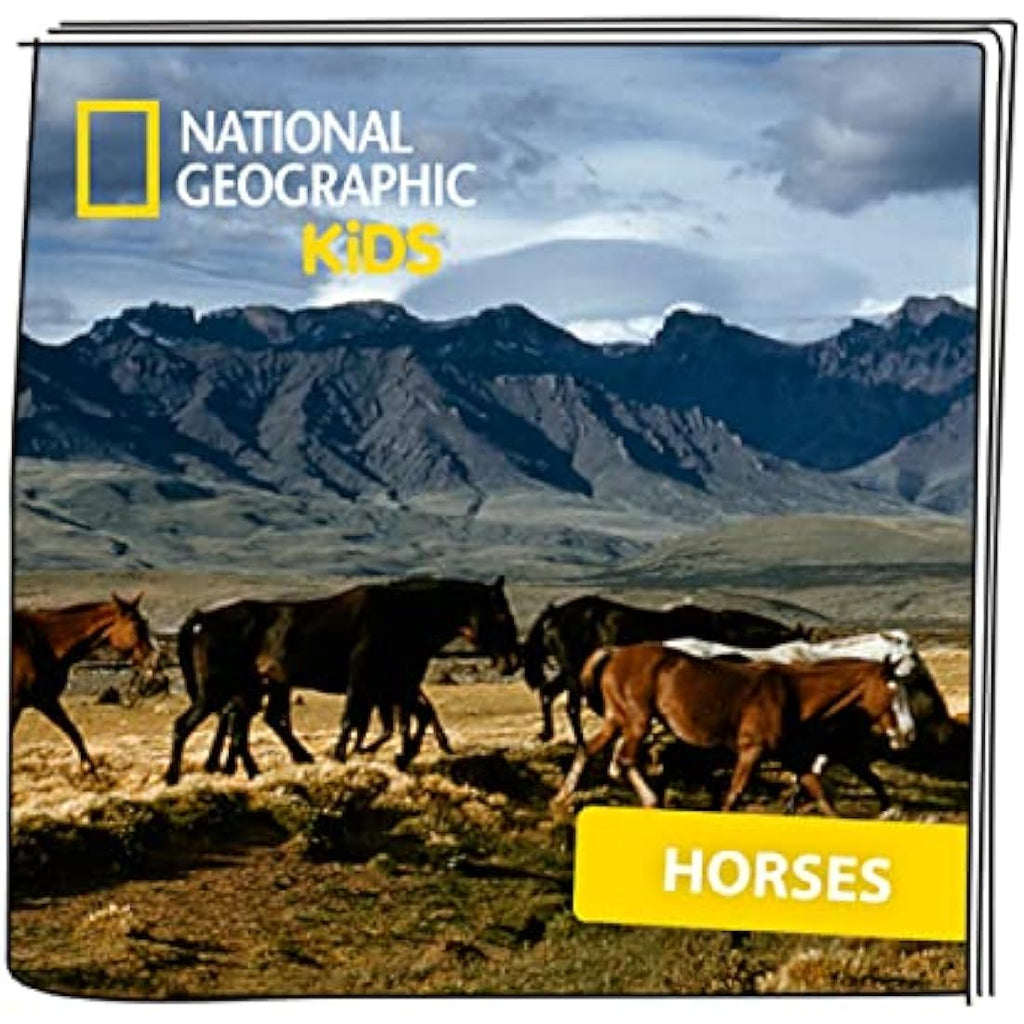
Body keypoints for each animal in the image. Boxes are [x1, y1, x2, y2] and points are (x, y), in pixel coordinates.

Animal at [12, 593, 160, 772]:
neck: (39, 642)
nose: (154, 662)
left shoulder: (46, 700)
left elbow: (73, 732)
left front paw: (88, 768)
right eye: (137, 626)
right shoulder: (22, 702)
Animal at [165, 576, 520, 784]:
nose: (512, 663)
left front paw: (403, 756)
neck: (403, 618)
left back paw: (261, 769)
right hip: (219, 690)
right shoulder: (366, 680)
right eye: (501, 615)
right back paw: (173, 776)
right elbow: (356, 719)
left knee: (248, 724)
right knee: (188, 725)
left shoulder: (398, 685)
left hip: (252, 688)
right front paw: (341, 756)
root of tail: (203, 620)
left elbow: (412, 719)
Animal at [522, 596, 808, 745]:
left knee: (548, 693)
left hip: (570, 671)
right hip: (573, 671)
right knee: (572, 706)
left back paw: (547, 734)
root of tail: (555, 614)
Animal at [552, 643, 915, 814]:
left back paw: (561, 799)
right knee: (625, 759)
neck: (792, 694)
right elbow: (734, 794)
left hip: (618, 720)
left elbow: (822, 797)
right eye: (893, 690)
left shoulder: (792, 757)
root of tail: (615, 652)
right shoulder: (751, 751)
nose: (908, 734)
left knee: (589, 749)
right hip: (637, 721)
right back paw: (651, 801)